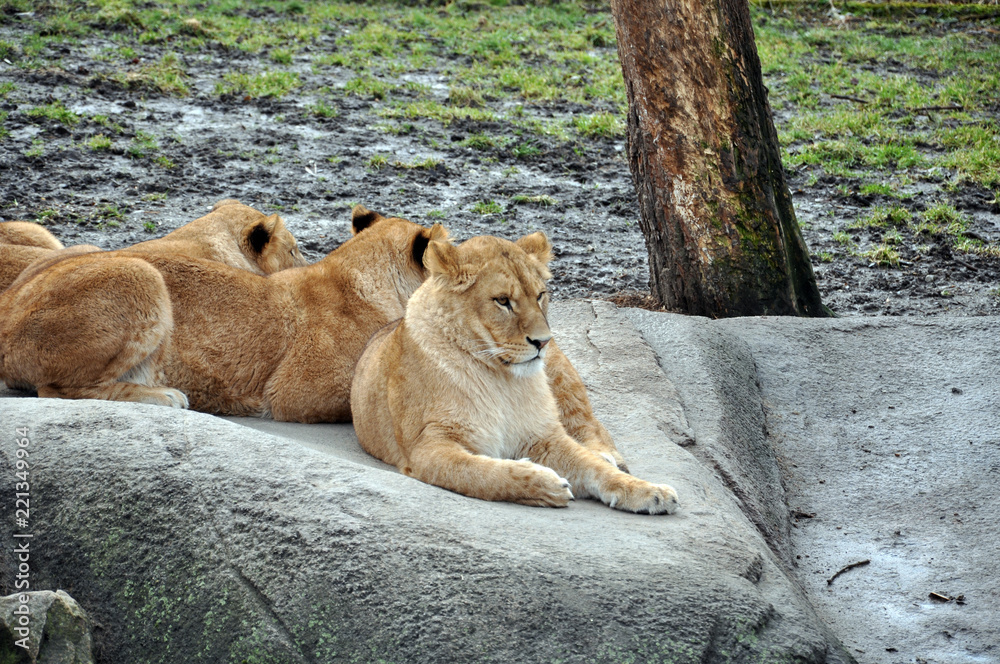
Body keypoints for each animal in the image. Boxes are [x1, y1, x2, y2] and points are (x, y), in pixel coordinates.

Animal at [350, 232, 675, 512]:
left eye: (541, 295)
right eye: (503, 301)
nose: (543, 341)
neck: (499, 378)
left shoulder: (544, 436)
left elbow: (593, 467)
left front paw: (649, 491)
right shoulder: (426, 447)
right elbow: (481, 473)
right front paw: (545, 484)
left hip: (563, 377)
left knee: (591, 427)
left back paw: (605, 455)